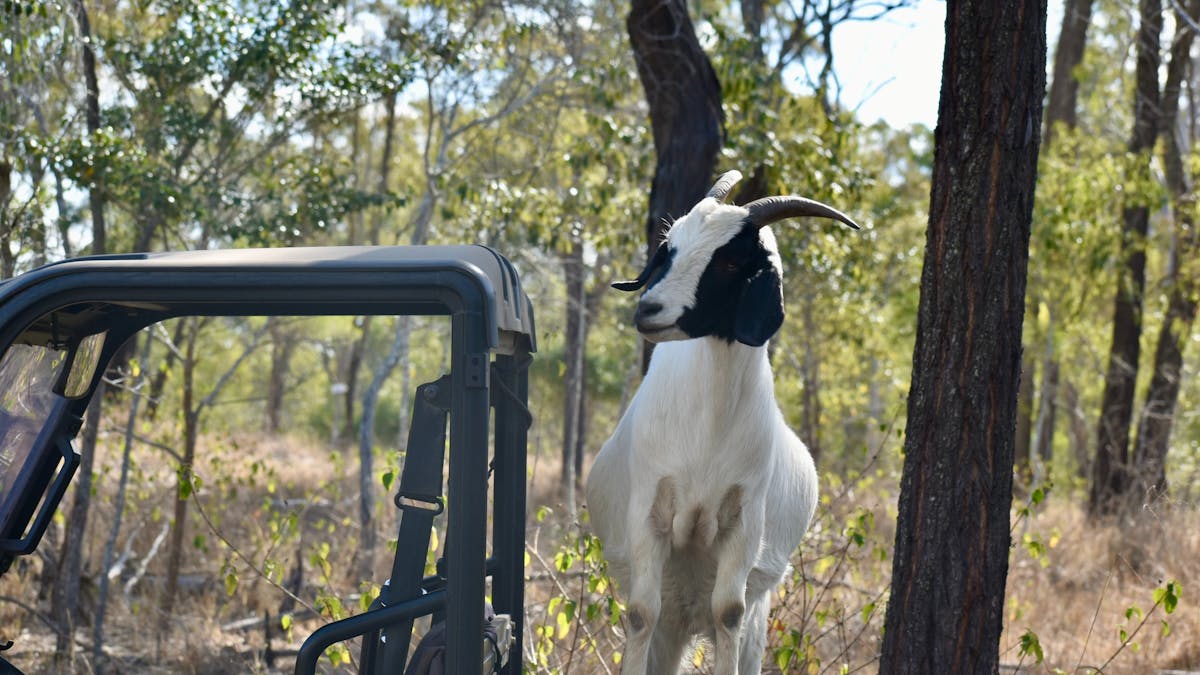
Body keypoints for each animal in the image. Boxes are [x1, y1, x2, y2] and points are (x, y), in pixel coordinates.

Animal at [585, 170, 858, 674]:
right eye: (669, 246)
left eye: (730, 262)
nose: (648, 310)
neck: (706, 431)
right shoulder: (649, 511)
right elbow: (640, 612)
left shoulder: (744, 521)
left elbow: (728, 612)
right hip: (671, 618)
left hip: (755, 609)